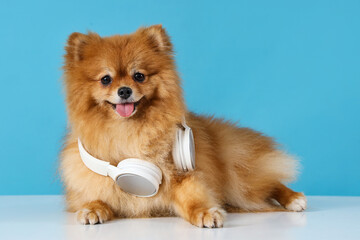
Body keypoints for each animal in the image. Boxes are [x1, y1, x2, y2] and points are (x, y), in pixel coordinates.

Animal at [60, 25, 306, 228]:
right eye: (105, 79)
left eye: (139, 76)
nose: (124, 91)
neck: (128, 131)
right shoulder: (93, 181)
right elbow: (97, 195)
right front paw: (92, 208)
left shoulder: (182, 176)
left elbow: (194, 198)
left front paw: (206, 212)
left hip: (238, 177)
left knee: (269, 181)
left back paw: (295, 198)